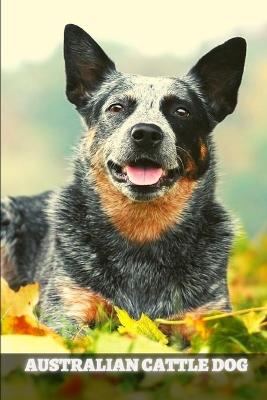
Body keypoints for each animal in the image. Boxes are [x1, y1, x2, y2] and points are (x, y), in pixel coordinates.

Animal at [0, 23, 247, 332]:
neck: (142, 232)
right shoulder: (67, 311)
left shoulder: (209, 316)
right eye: (116, 107)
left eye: (182, 111)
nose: (146, 133)